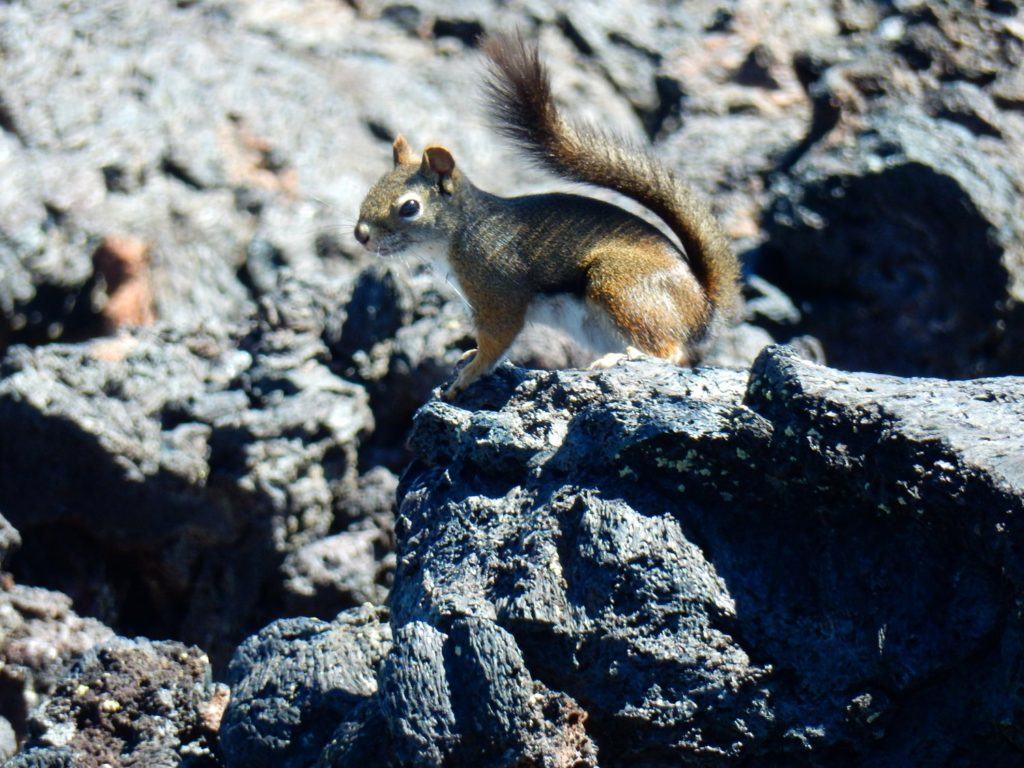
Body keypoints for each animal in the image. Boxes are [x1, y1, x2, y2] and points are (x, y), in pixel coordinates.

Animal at [356, 32, 741, 399]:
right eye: (372, 188)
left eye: (409, 207)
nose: (361, 235)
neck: (462, 233)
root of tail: (703, 306)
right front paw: (468, 356)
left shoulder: (498, 291)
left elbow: (497, 338)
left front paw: (470, 373)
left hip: (620, 284)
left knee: (670, 351)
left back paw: (622, 359)